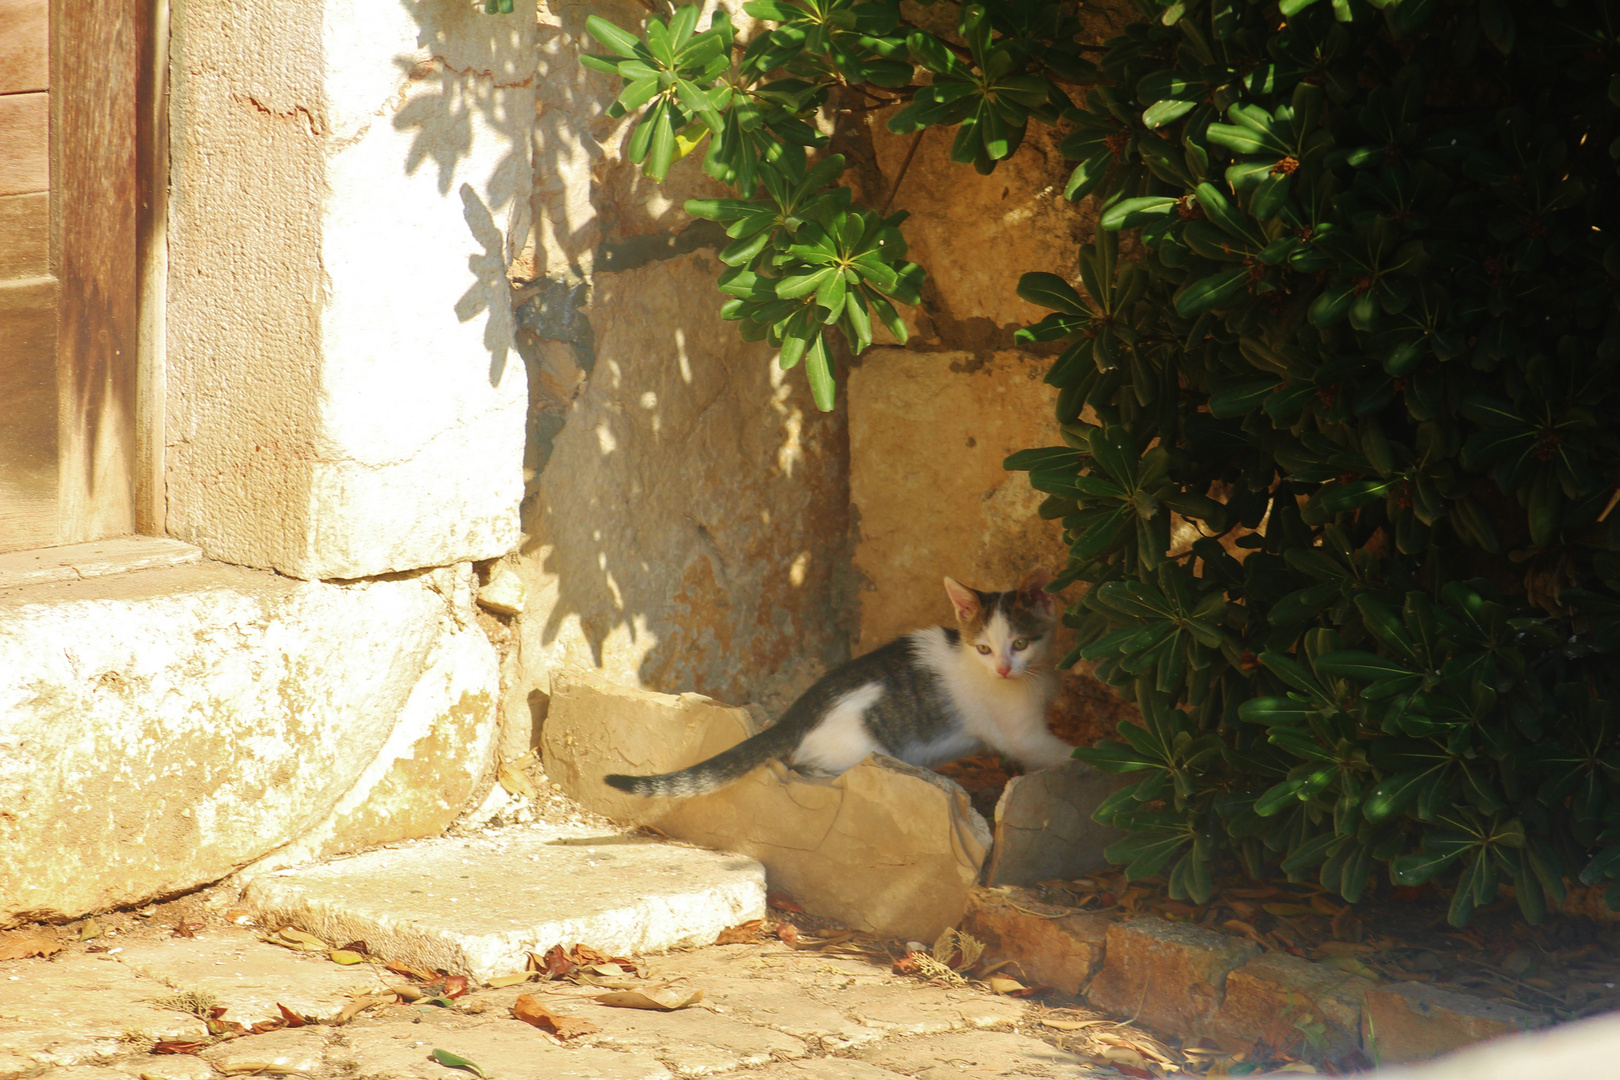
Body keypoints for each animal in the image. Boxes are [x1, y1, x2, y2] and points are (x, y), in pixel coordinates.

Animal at [602, 569, 1069, 799]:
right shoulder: (1020, 734)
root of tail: (796, 715)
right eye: (985, 649)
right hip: (858, 751)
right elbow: (1059, 754)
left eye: (1020, 643)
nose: (1004, 669)